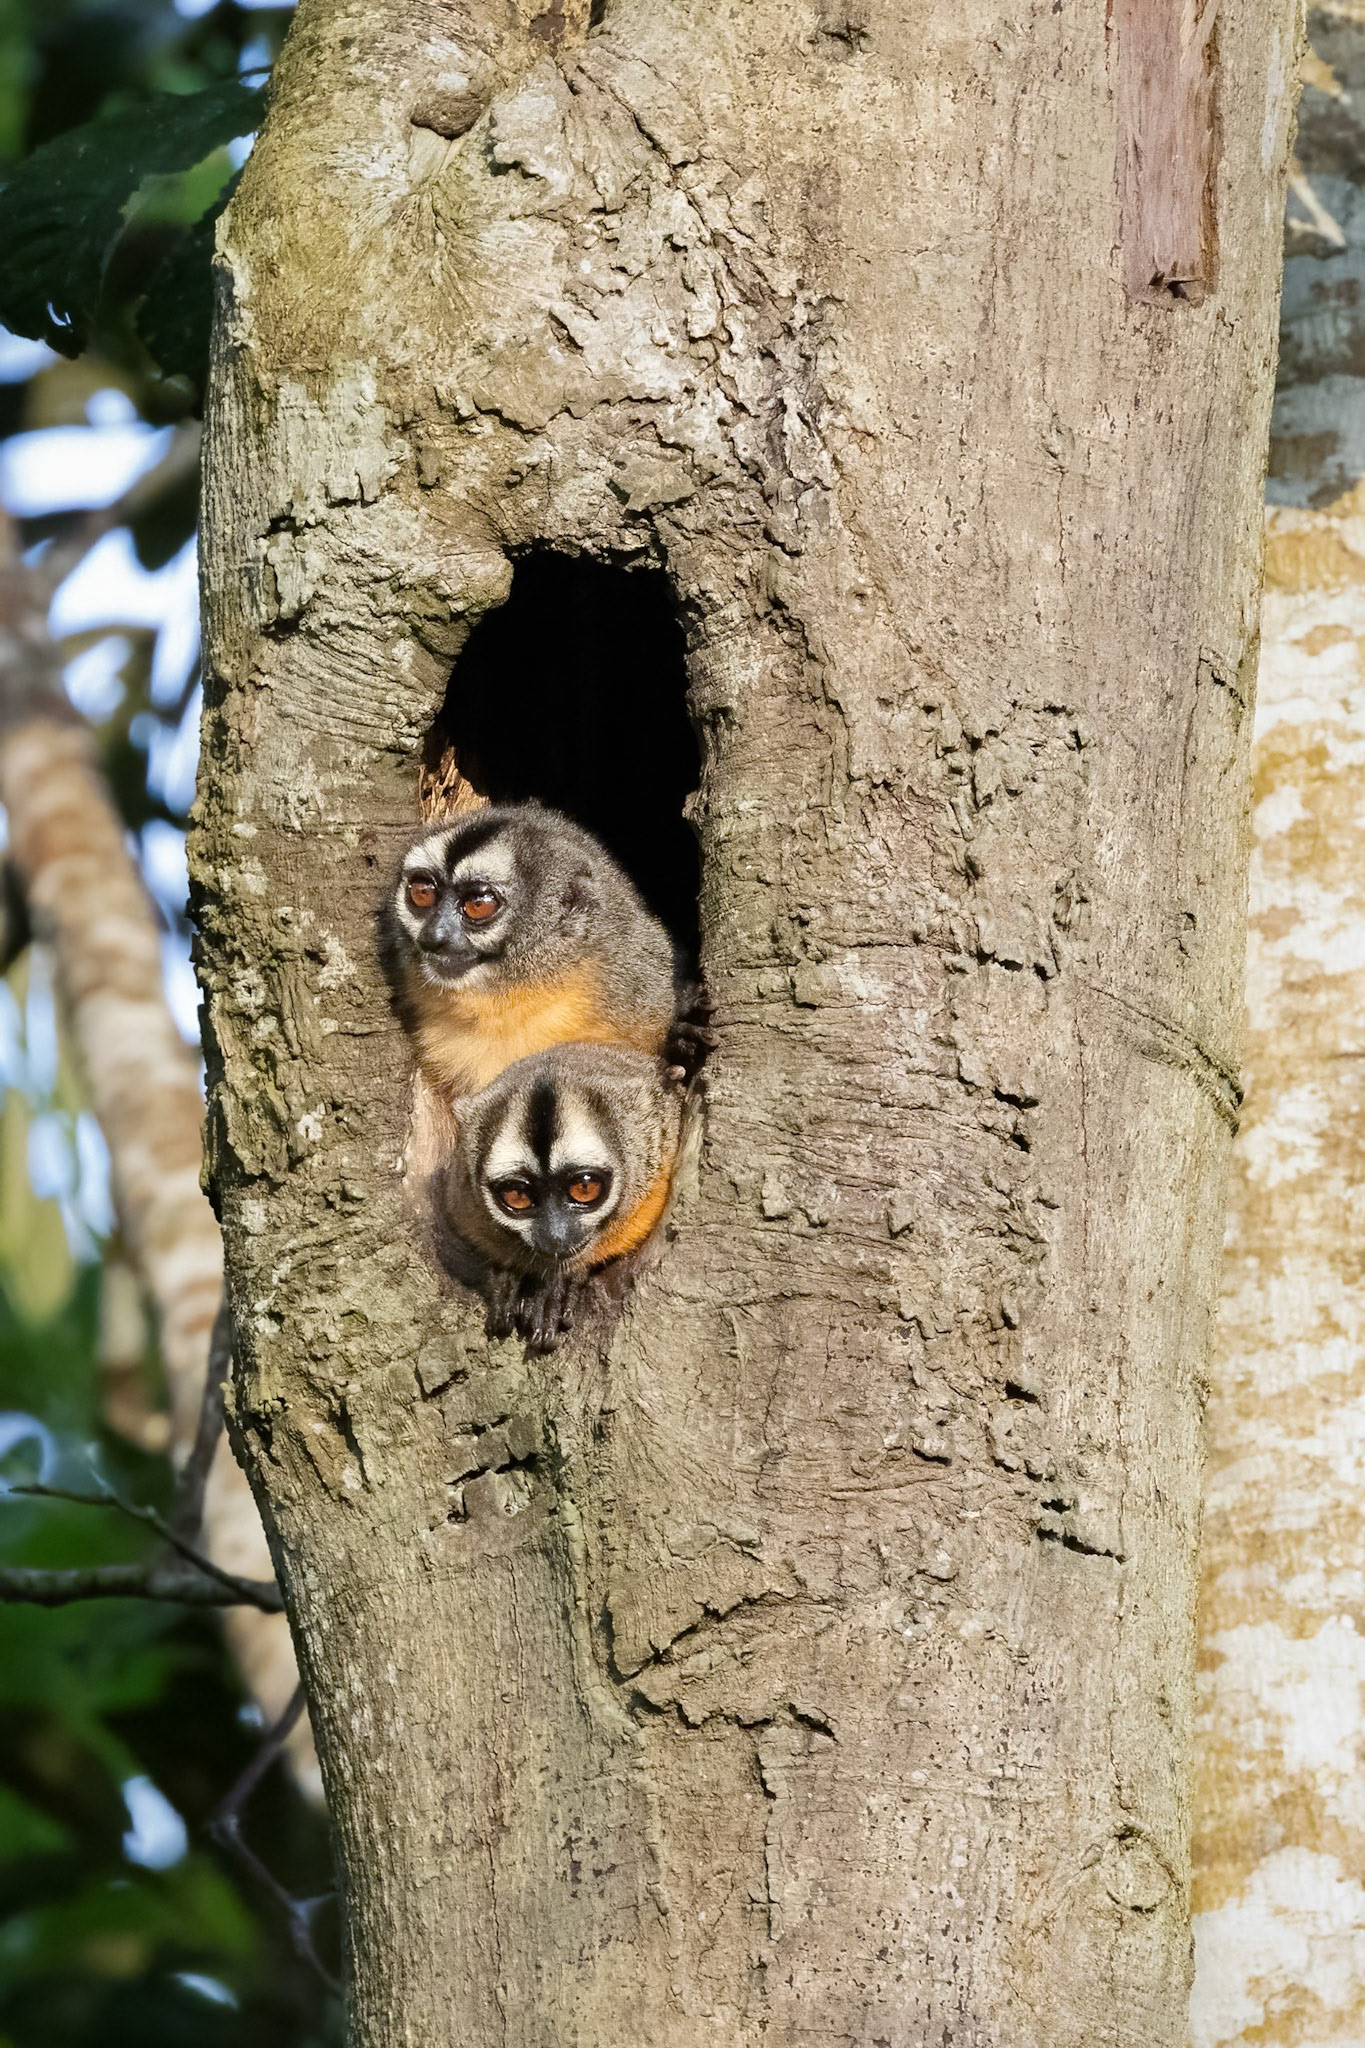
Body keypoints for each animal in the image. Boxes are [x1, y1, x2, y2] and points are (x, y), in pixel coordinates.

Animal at [433, 1041, 684, 1351]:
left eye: (584, 1188)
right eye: (518, 1194)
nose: (556, 1235)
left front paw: (559, 1287)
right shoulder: (461, 1198)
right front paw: (507, 1279)